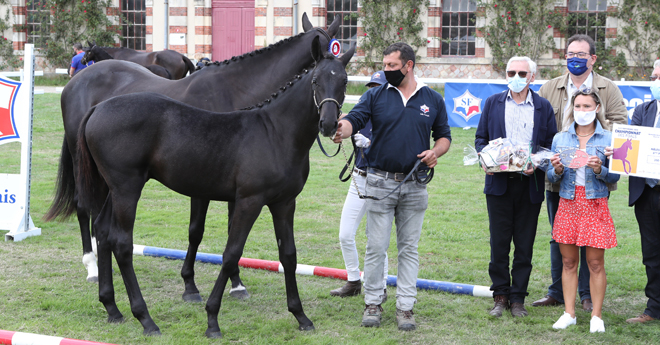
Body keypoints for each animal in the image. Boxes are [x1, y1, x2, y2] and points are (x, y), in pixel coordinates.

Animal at [43, 12, 340, 298]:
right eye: (325, 54)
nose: (329, 123)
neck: (236, 90)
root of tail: (77, 81)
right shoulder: (205, 182)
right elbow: (196, 231)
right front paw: (190, 284)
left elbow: (230, 229)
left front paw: (235, 283)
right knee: (83, 207)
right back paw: (92, 266)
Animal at [76, 37, 354, 336]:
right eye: (315, 80)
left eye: (344, 81)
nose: (329, 124)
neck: (275, 133)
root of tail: (97, 108)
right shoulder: (249, 201)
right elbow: (231, 254)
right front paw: (212, 319)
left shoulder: (284, 203)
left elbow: (288, 256)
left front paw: (301, 316)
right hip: (127, 189)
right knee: (122, 243)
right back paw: (145, 318)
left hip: (113, 189)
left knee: (102, 231)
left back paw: (112, 307)